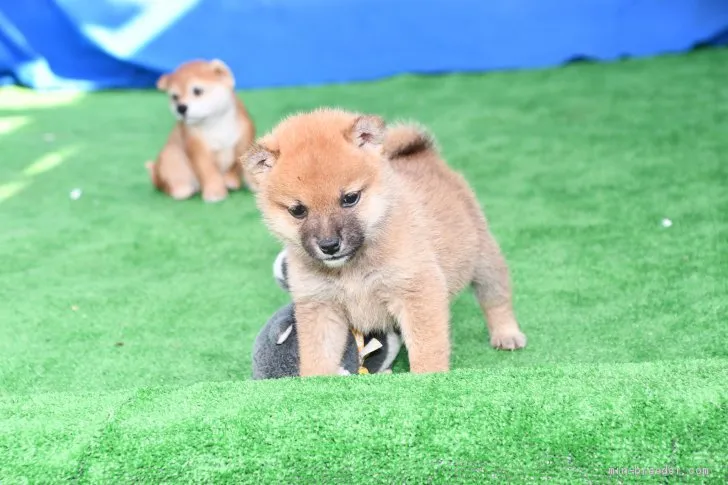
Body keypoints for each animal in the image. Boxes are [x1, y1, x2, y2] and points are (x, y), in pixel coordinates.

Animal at [145, 59, 256, 202]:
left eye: (197, 91)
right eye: (175, 97)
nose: (181, 108)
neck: (216, 123)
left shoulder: (243, 141)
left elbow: (241, 166)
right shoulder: (198, 149)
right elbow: (208, 171)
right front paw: (215, 192)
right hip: (171, 157)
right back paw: (181, 189)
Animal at [242, 108, 528, 374]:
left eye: (350, 198)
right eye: (298, 210)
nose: (329, 245)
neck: (352, 267)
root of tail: (423, 154)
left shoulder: (416, 292)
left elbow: (427, 348)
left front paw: (430, 378)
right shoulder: (320, 307)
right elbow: (317, 357)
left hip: (483, 260)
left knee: (496, 299)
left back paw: (507, 334)